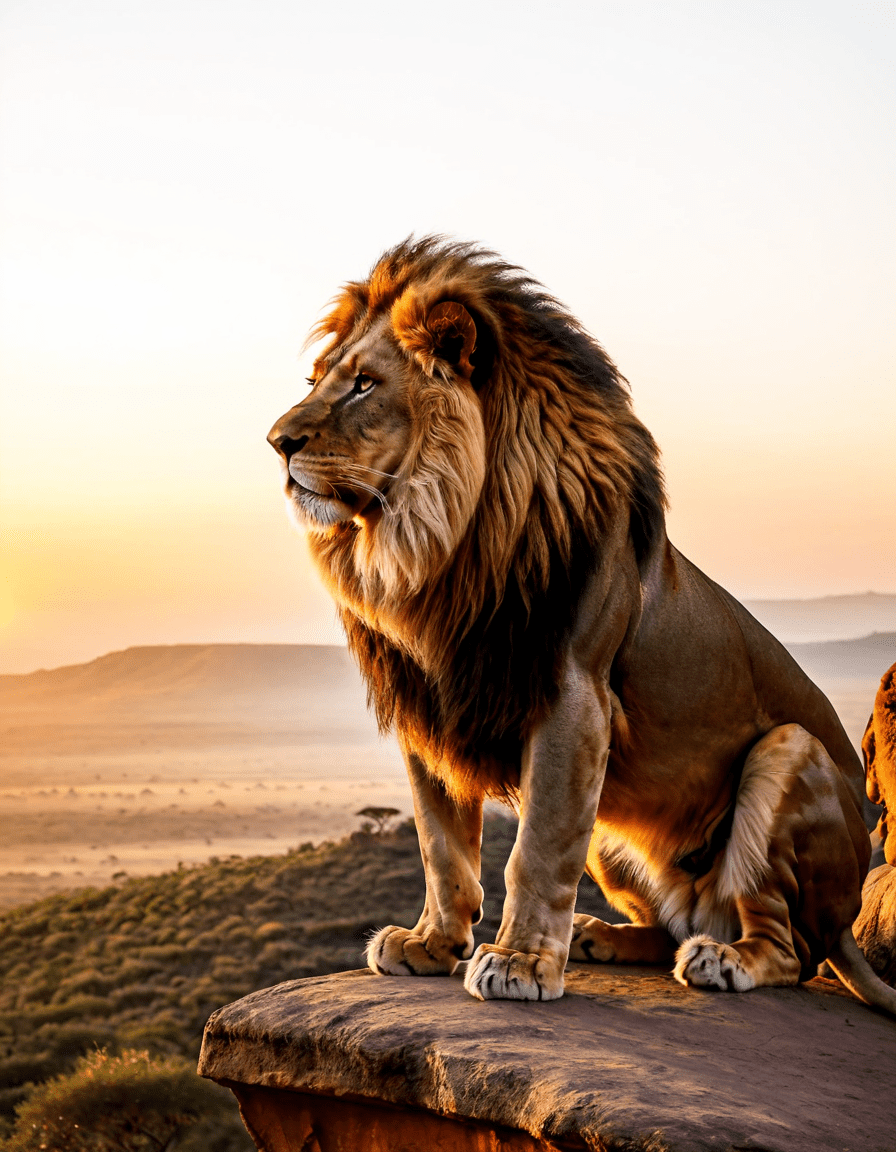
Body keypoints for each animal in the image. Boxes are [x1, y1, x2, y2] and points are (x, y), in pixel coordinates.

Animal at [267, 236, 896, 1012]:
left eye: (364, 385)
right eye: (316, 379)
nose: (277, 442)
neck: (437, 542)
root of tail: (848, 915)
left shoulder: (572, 694)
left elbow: (535, 848)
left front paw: (519, 964)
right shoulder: (432, 703)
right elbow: (440, 843)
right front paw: (432, 944)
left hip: (788, 754)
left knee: (789, 949)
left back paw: (723, 959)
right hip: (615, 837)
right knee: (673, 922)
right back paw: (608, 937)